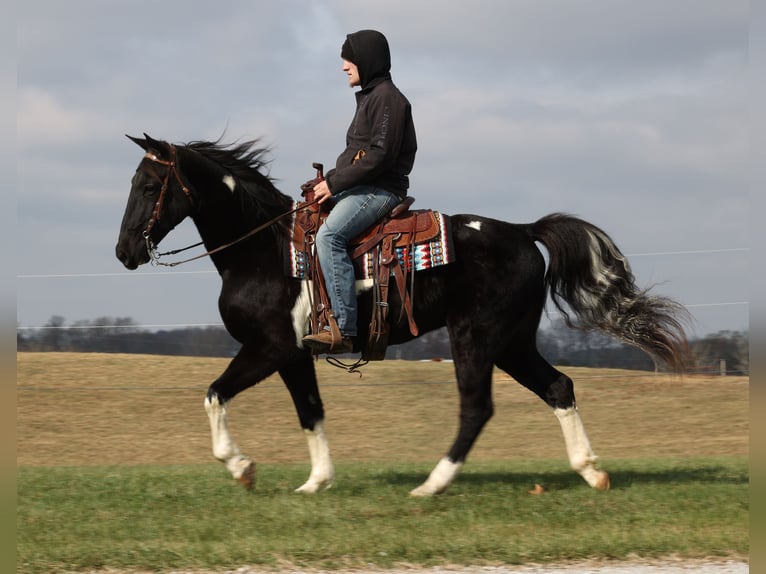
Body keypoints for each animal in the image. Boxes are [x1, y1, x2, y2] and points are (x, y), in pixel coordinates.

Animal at [117, 134, 692, 496]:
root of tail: (523, 231)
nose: (125, 252)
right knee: (558, 387)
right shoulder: (295, 355)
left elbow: (215, 394)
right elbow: (311, 413)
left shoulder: (269, 348)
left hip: (474, 338)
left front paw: (242, 468)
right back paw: (592, 473)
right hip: (512, 342)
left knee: (477, 408)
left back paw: (431, 485)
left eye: (147, 186)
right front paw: (316, 482)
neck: (263, 250)